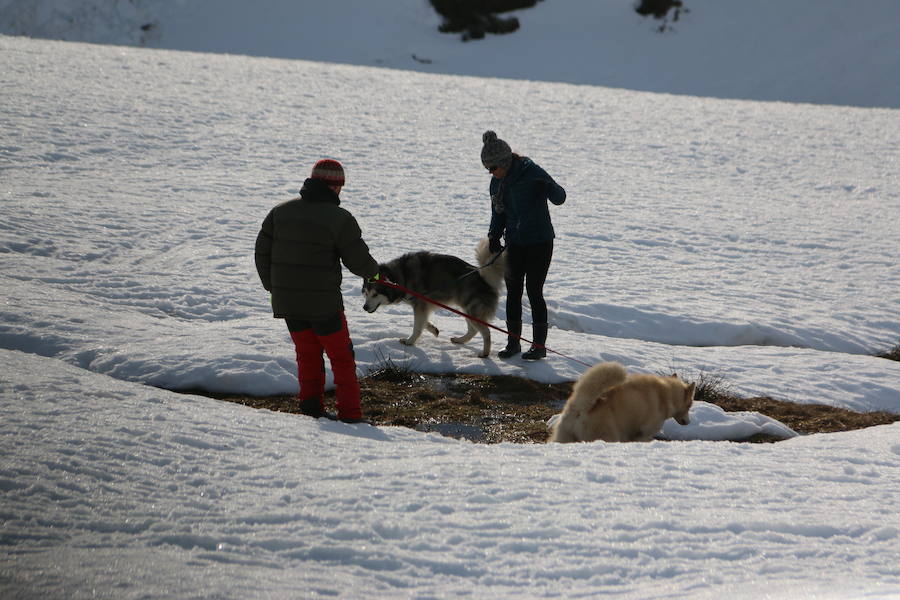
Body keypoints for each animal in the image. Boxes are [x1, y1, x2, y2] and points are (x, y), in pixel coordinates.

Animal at [360, 239, 502, 358]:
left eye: (375, 294)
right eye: (366, 293)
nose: (365, 307)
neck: (401, 276)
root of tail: (483, 278)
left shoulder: (420, 305)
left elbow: (417, 326)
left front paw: (410, 341)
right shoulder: (423, 306)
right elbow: (424, 322)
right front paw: (433, 329)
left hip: (472, 310)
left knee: (486, 332)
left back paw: (485, 353)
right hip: (466, 310)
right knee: (473, 330)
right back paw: (460, 340)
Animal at [548, 360, 696, 440]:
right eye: (689, 405)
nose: (689, 422)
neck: (666, 395)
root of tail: (582, 406)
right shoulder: (643, 434)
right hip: (608, 436)